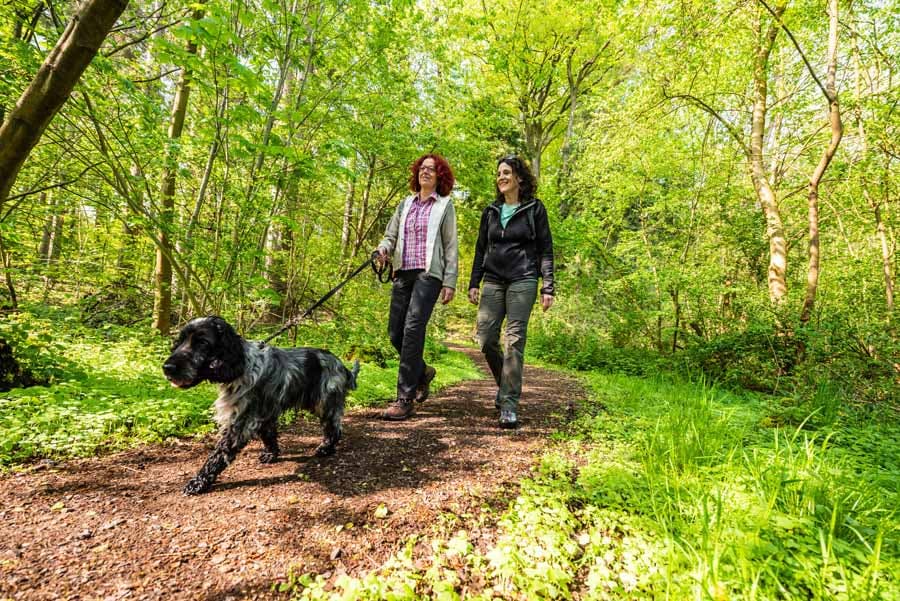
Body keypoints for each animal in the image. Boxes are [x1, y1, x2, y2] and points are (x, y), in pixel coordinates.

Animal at [163, 316, 360, 494]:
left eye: (202, 343)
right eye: (179, 341)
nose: (167, 368)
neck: (242, 365)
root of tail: (342, 365)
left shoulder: (240, 422)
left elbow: (217, 456)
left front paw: (197, 483)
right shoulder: (265, 414)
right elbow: (269, 436)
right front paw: (271, 454)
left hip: (325, 404)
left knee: (334, 428)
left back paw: (326, 448)